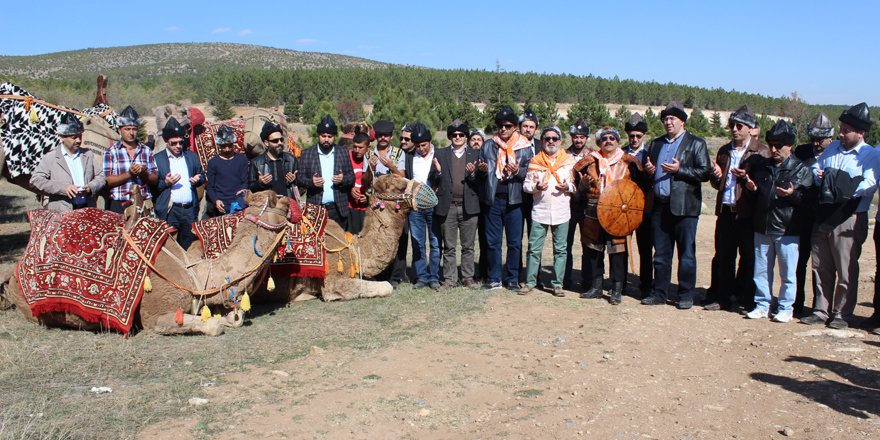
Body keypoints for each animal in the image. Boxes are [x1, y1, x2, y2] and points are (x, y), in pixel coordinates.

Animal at [5, 190, 290, 336]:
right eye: (281, 201)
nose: (292, 202)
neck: (195, 275)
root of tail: (16, 269)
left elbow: (230, 318)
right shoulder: (154, 315)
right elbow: (214, 326)